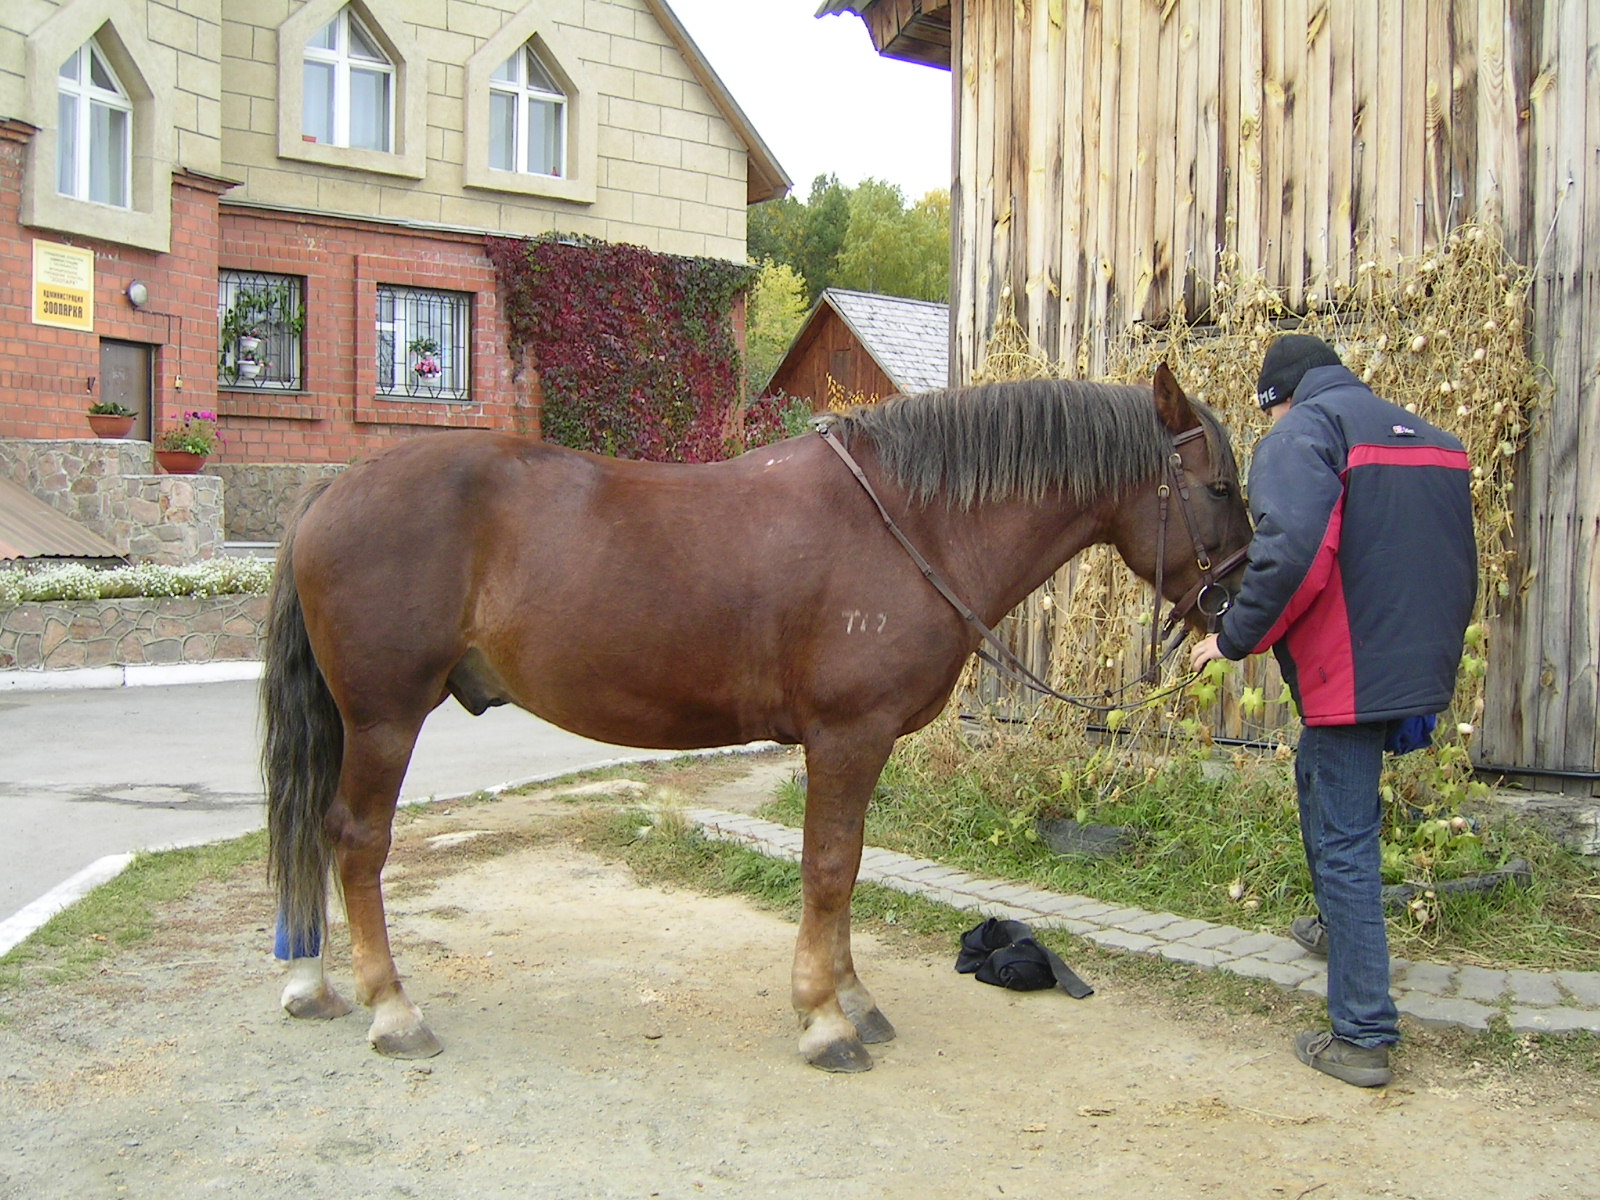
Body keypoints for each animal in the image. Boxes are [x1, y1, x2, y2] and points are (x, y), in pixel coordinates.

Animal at [262, 364, 1252, 1072]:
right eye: (1219, 485)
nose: (1237, 599)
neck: (915, 526)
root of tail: (331, 492)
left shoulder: (860, 745)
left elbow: (847, 867)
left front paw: (852, 1000)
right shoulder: (846, 737)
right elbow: (828, 870)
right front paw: (824, 1021)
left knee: (314, 829)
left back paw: (313, 984)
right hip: (385, 718)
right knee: (356, 840)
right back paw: (393, 1010)